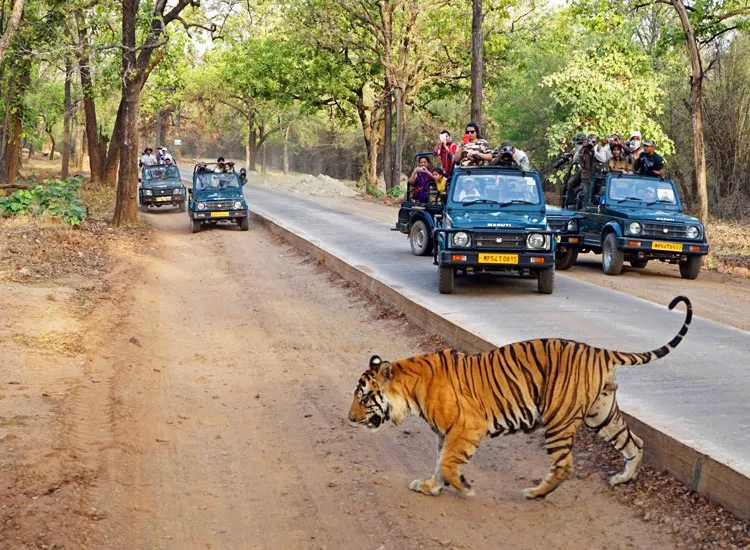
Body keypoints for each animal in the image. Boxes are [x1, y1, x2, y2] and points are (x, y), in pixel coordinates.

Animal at [346, 298, 692, 500]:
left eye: (363, 398)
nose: (350, 419)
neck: (410, 389)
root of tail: (600, 350)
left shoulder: (466, 427)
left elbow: (446, 462)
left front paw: (464, 488)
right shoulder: (445, 433)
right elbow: (439, 463)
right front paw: (431, 486)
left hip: (559, 419)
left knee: (565, 465)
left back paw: (535, 493)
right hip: (601, 414)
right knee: (634, 442)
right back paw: (623, 478)